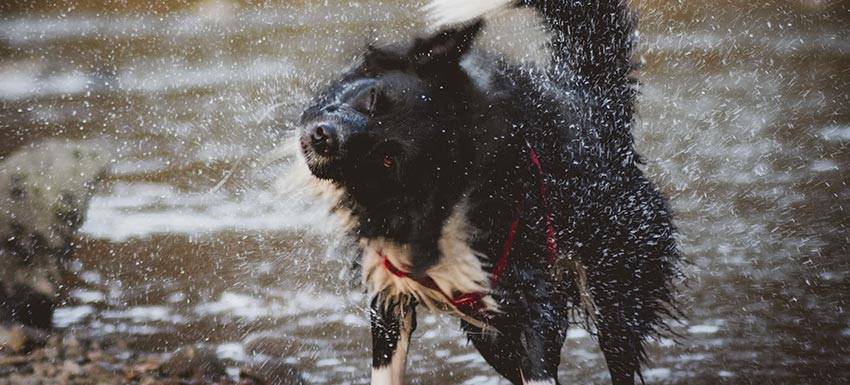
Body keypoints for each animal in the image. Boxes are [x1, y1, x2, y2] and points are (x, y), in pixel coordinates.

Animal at [294, 1, 680, 382]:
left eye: (388, 159)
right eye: (372, 98)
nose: (322, 136)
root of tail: (599, 108)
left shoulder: (539, 300)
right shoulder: (389, 297)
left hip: (616, 297)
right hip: (491, 335)